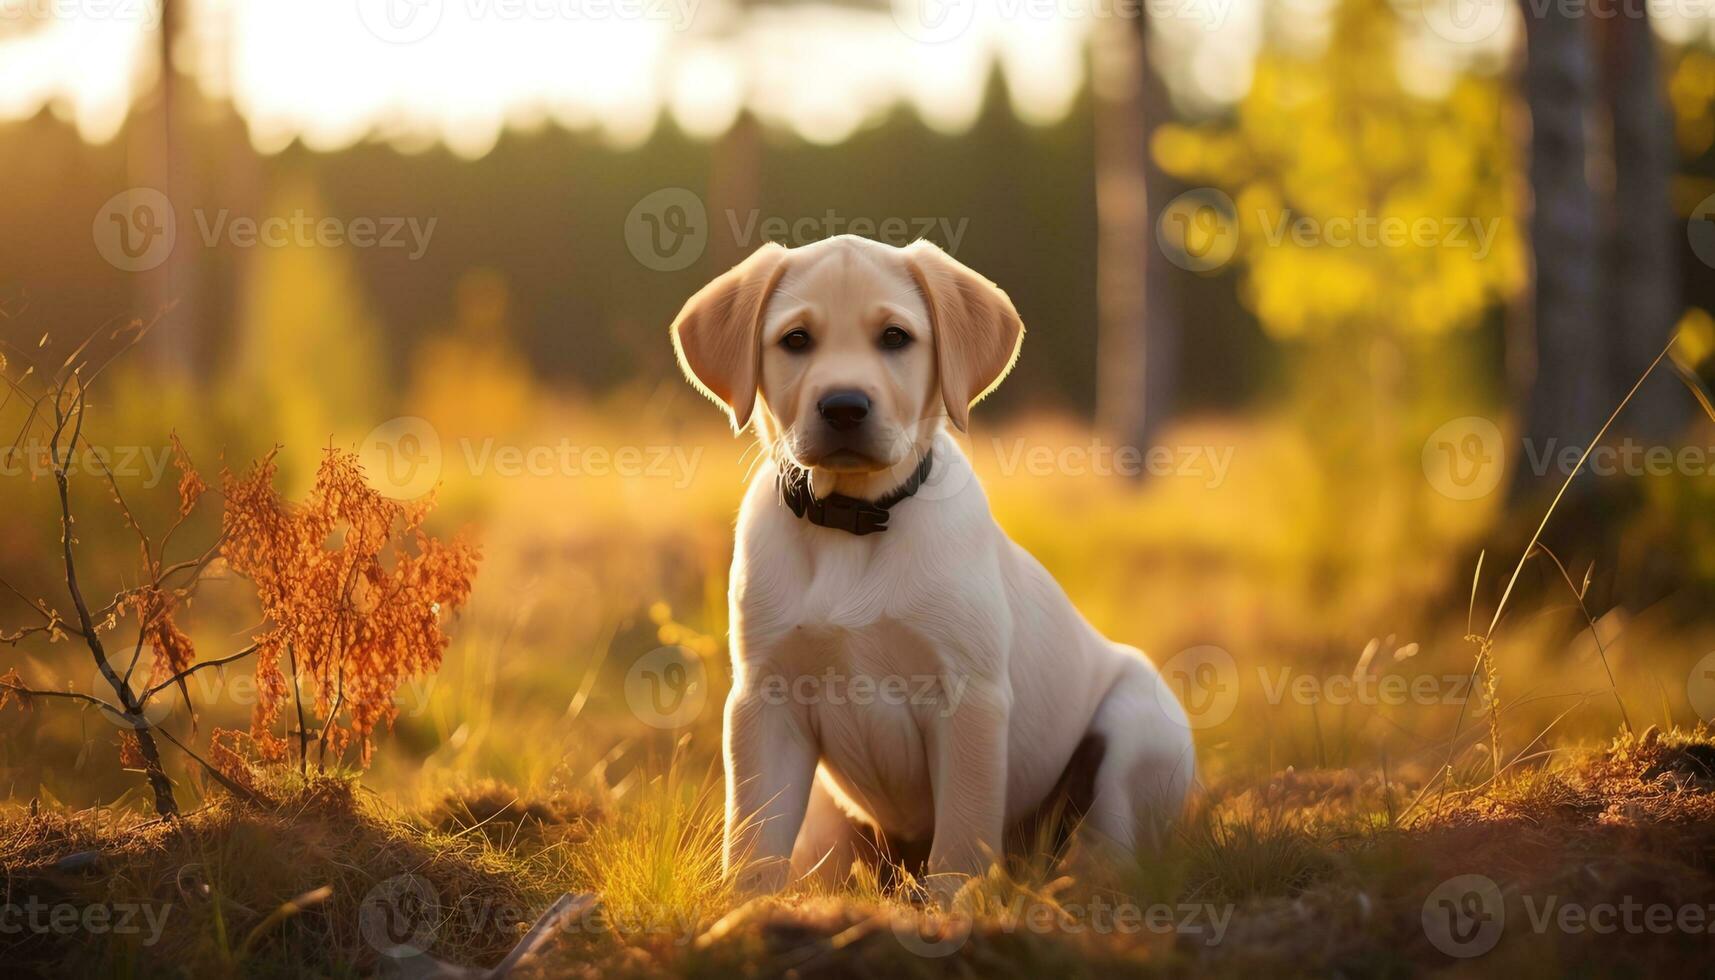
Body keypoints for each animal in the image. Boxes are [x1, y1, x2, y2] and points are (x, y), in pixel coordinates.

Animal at [668, 238, 1193, 899]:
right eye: (795, 340)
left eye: (895, 337)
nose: (844, 406)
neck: (855, 522)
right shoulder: (764, 699)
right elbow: (753, 835)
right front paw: (741, 908)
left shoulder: (969, 699)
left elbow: (961, 836)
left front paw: (952, 907)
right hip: (831, 818)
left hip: (1137, 727)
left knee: (1115, 849)